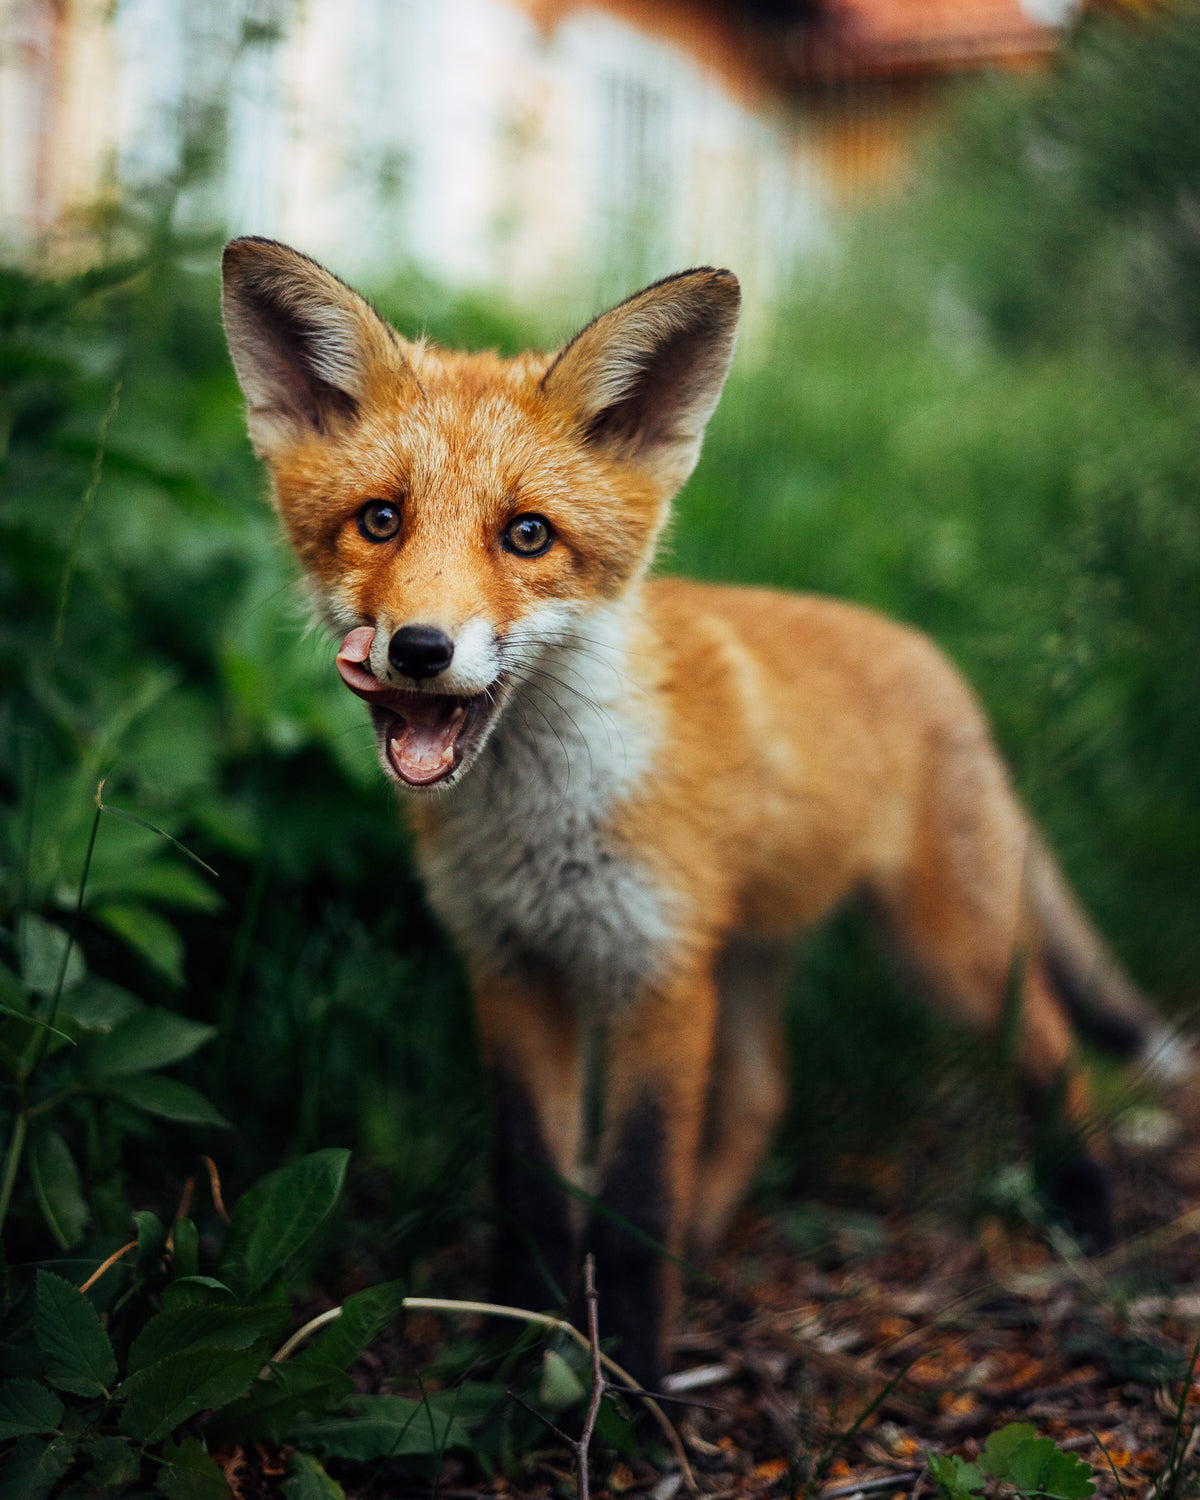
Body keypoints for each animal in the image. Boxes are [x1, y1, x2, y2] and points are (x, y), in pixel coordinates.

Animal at [221, 236, 1190, 1388]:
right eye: (380, 520)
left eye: (527, 536)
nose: (419, 648)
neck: (542, 829)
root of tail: (930, 657)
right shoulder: (512, 968)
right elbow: (533, 1191)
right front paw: (515, 1359)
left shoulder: (658, 972)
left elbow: (634, 1202)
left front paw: (631, 1383)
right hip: (750, 955)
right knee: (767, 1094)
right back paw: (712, 1233)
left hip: (942, 949)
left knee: (1049, 1036)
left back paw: (1087, 1210)